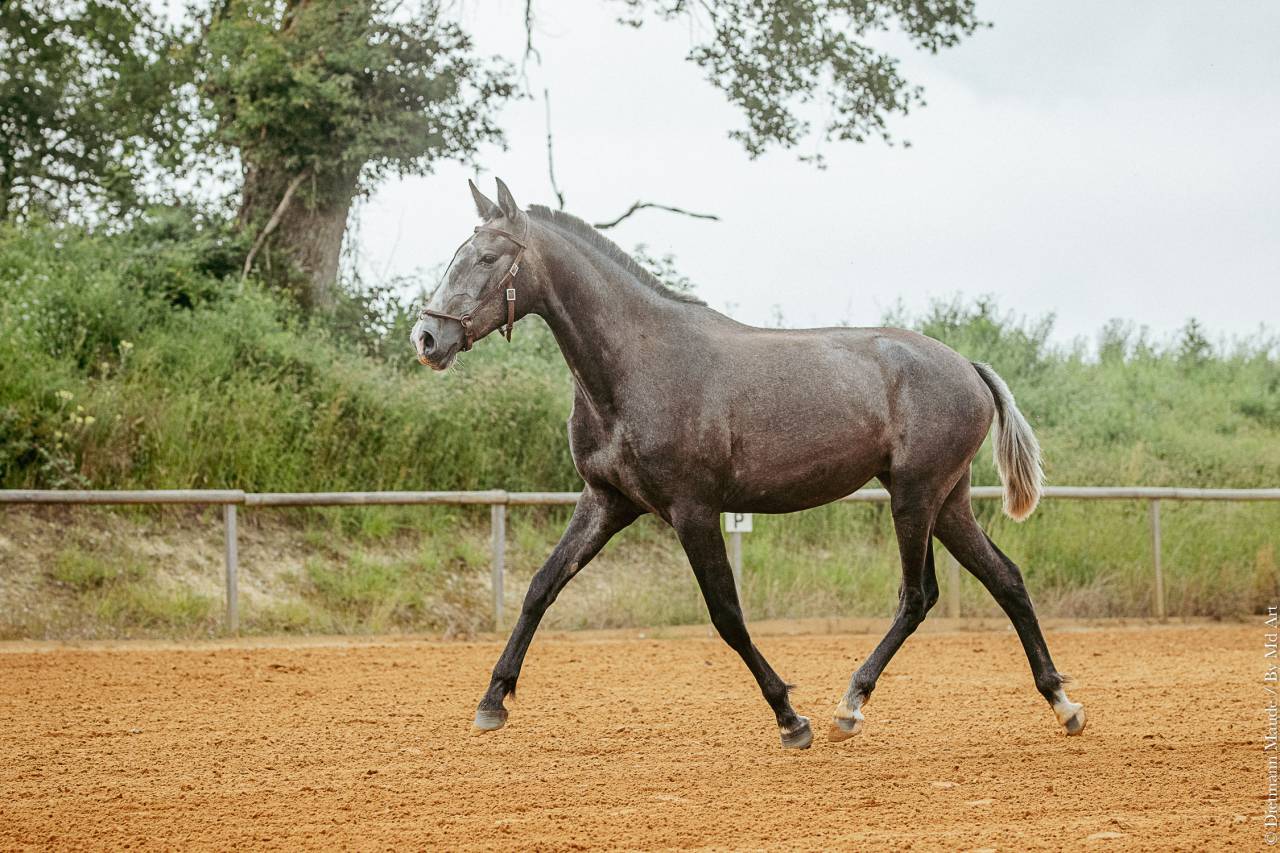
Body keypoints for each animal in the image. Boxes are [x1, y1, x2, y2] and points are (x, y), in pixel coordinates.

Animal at [410, 178, 1086, 750]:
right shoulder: (607, 501)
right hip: (946, 501)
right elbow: (541, 587)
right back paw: (1061, 703)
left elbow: (727, 615)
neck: (635, 365)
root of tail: (967, 366)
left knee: (917, 596)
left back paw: (850, 706)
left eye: (488, 258)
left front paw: (791, 718)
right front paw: (492, 702)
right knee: (1006, 579)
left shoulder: (693, 510)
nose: (427, 339)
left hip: (915, 497)